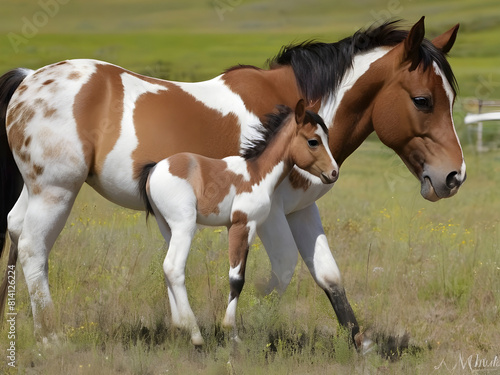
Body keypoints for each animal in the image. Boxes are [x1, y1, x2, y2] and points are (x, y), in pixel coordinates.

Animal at [139, 100, 338, 346]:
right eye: (313, 141)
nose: (334, 172)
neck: (258, 174)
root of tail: (155, 168)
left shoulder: (236, 228)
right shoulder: (243, 225)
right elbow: (237, 278)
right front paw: (231, 332)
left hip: (167, 228)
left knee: (167, 269)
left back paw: (179, 326)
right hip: (184, 226)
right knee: (174, 267)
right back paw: (195, 334)